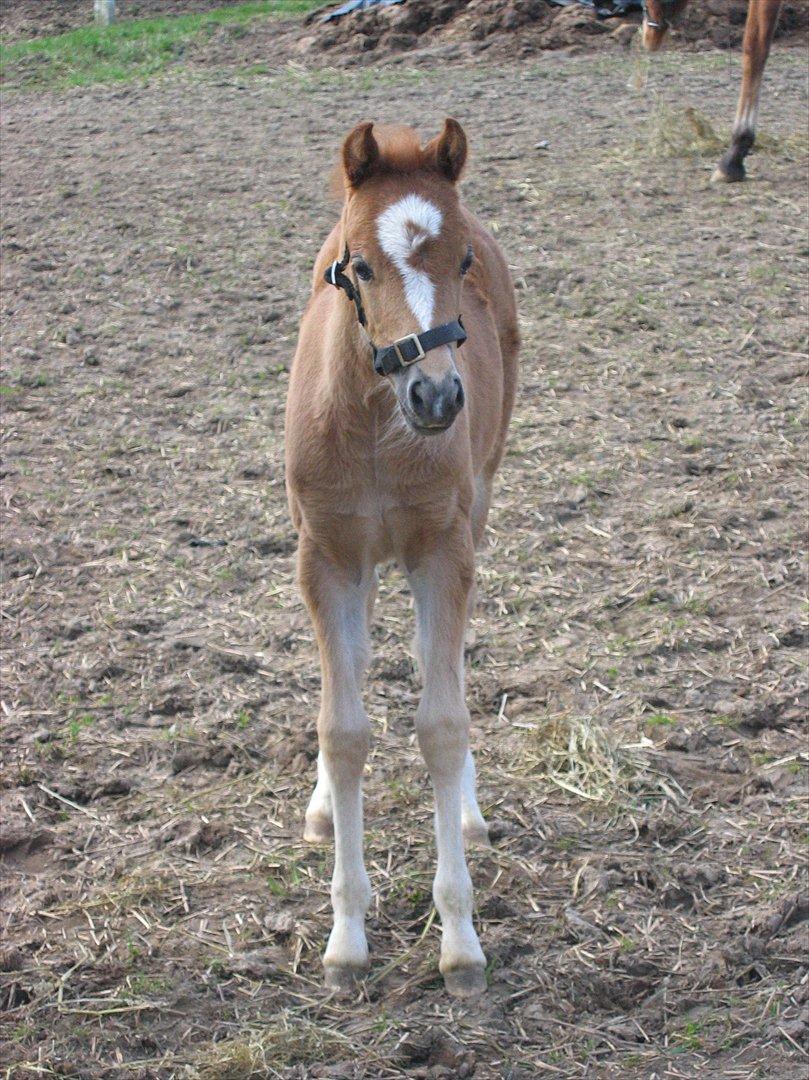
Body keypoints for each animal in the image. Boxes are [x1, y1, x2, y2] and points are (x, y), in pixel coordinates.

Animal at [285, 118, 518, 993]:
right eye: (358, 266)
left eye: (461, 261)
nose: (438, 395)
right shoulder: (325, 556)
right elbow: (343, 728)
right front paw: (346, 936)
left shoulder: (442, 549)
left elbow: (441, 723)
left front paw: (459, 940)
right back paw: (324, 807)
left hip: (474, 508)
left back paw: (469, 811)